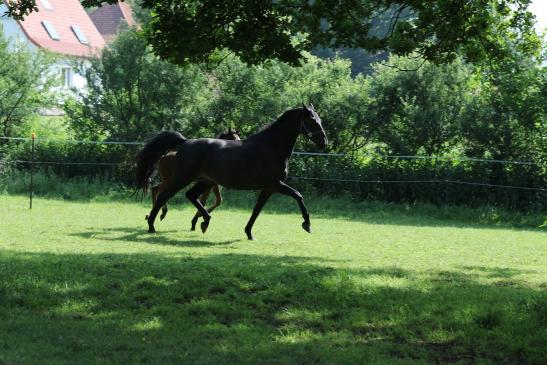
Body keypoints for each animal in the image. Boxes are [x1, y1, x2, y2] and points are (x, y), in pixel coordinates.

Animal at [135, 104, 328, 239]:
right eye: (312, 120)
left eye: (319, 120)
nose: (324, 143)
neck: (271, 147)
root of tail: (184, 142)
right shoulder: (275, 184)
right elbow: (298, 196)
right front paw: (307, 224)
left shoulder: (268, 187)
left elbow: (257, 210)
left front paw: (249, 233)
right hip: (182, 179)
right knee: (163, 196)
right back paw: (152, 224)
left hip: (204, 181)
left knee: (190, 195)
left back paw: (204, 221)